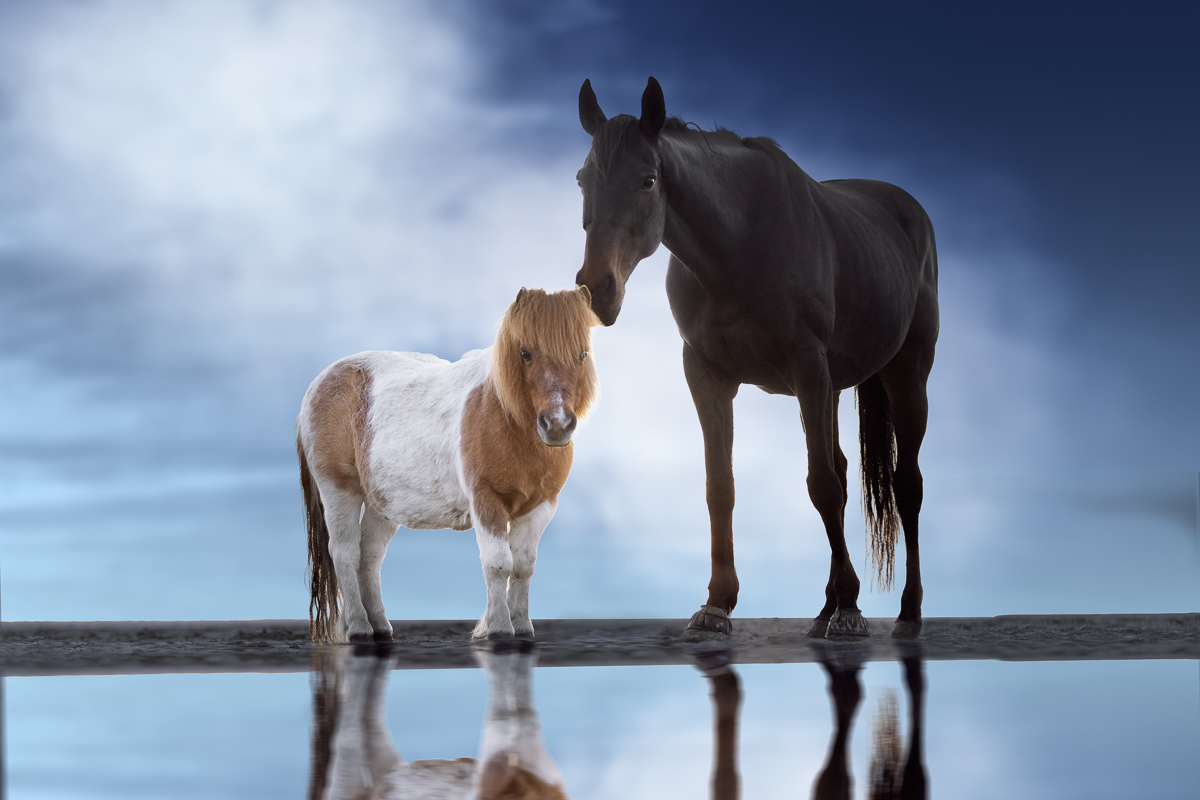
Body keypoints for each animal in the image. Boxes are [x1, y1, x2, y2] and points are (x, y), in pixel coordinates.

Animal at [297, 287, 599, 643]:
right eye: (525, 353)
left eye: (582, 354)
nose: (557, 425)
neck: (502, 416)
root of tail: (321, 383)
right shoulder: (486, 501)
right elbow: (499, 563)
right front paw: (499, 629)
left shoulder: (540, 507)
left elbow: (523, 566)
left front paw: (522, 627)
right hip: (338, 490)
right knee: (345, 552)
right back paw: (358, 627)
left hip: (381, 504)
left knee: (369, 555)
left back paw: (379, 627)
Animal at [574, 77, 939, 640]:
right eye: (581, 180)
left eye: (648, 181)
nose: (597, 290)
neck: (740, 245)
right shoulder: (707, 376)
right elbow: (720, 487)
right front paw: (717, 604)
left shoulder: (807, 368)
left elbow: (822, 486)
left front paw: (851, 608)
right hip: (834, 389)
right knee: (844, 470)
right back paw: (824, 608)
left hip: (905, 375)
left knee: (906, 485)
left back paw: (907, 611)